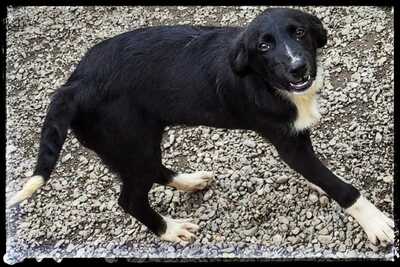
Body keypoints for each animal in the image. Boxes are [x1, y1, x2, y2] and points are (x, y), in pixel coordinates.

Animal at [8, 7, 394, 247]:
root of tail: (73, 84)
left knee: (154, 171)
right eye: (263, 45)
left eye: (299, 32)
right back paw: (170, 230)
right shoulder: (288, 143)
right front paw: (375, 222)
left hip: (135, 142)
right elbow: (340, 187)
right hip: (131, 142)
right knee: (130, 199)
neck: (265, 81)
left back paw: (190, 182)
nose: (298, 68)